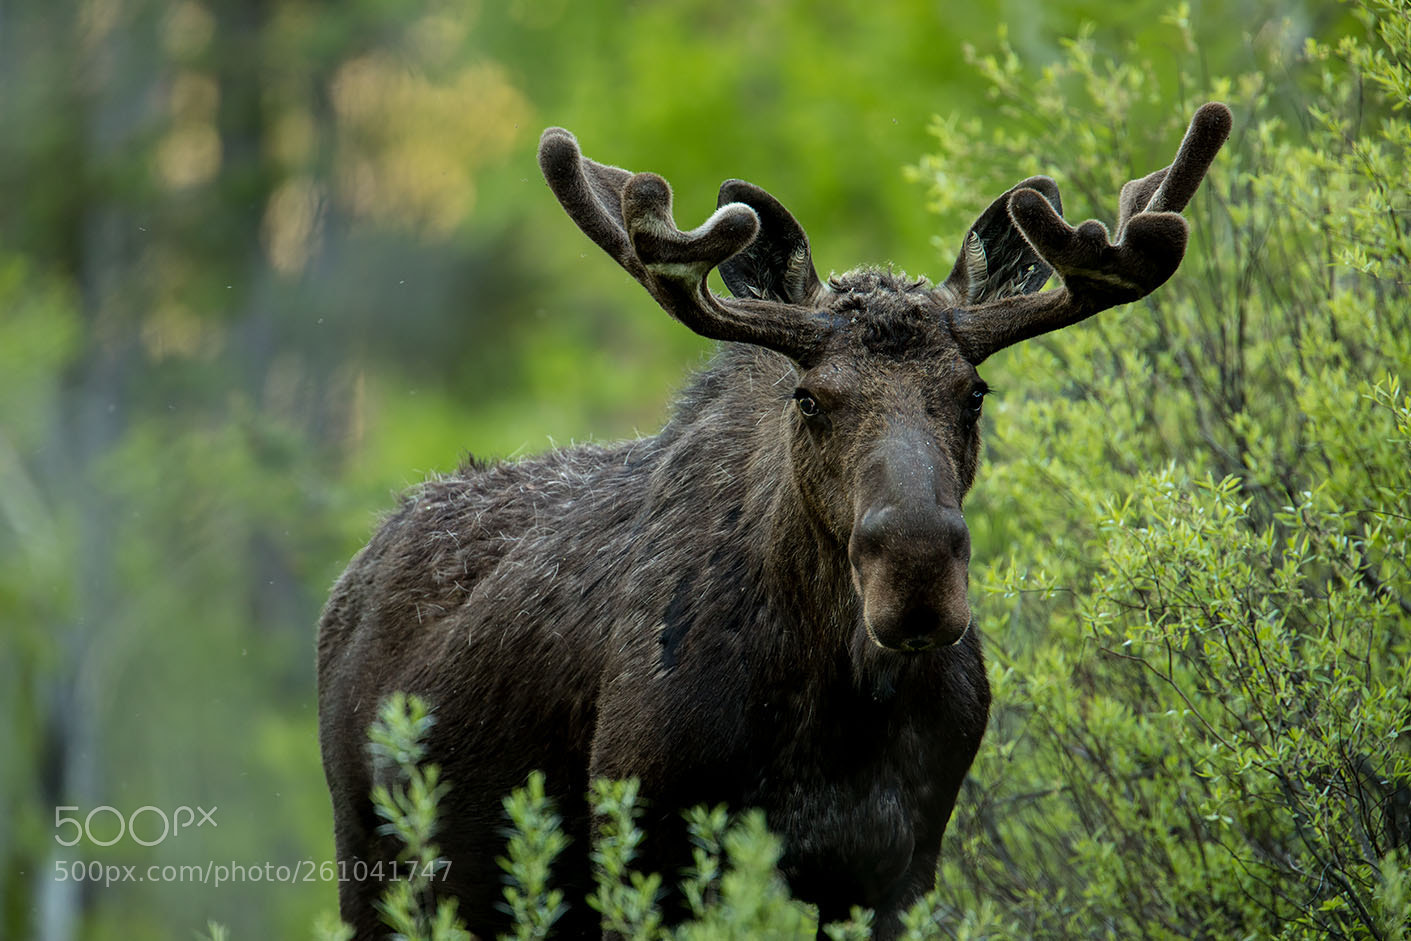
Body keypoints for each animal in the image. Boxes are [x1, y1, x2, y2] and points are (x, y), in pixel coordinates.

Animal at [316, 102, 1231, 939]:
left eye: (973, 392)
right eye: (809, 397)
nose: (916, 576)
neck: (842, 703)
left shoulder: (898, 869)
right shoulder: (644, 846)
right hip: (377, 865)